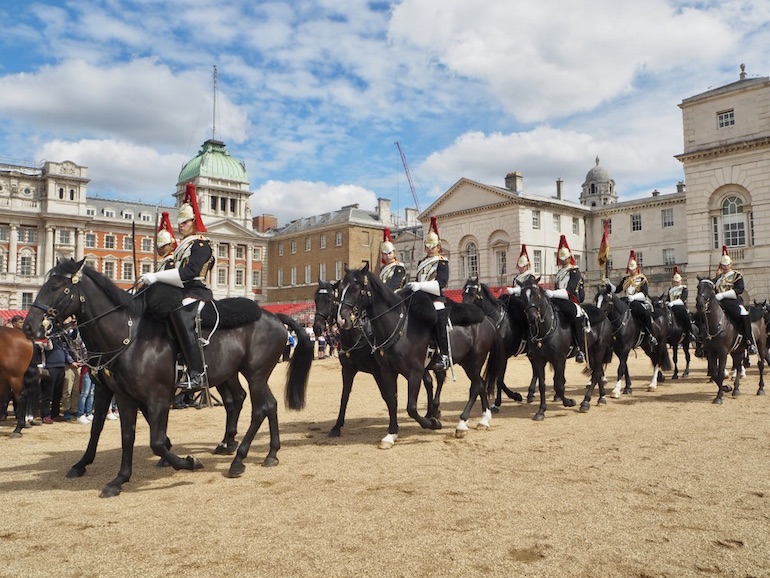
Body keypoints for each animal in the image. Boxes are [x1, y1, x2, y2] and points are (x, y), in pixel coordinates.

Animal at [24, 258, 312, 496]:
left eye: (58, 288)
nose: (29, 326)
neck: (129, 337)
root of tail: (273, 316)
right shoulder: (122, 396)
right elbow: (123, 435)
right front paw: (118, 478)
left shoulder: (157, 397)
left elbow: (157, 441)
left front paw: (187, 462)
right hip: (242, 374)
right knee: (261, 403)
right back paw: (268, 453)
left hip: (255, 374)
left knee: (259, 408)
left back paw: (238, 459)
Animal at [336, 264, 498, 438]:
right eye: (340, 289)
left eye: (357, 287)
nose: (342, 319)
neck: (400, 328)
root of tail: (487, 320)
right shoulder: (386, 372)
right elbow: (391, 401)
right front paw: (391, 433)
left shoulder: (414, 373)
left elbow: (411, 408)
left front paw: (433, 423)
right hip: (467, 362)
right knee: (479, 384)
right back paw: (483, 419)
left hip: (474, 361)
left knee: (476, 385)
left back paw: (462, 423)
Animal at [460, 276, 524, 408]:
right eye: (463, 293)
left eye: (473, 293)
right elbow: (497, 378)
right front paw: (513, 396)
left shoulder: (503, 355)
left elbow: (499, 379)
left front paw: (499, 401)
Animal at [516, 276, 612, 416]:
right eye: (522, 295)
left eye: (537, 294)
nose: (532, 317)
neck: (547, 329)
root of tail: (604, 316)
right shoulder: (539, 360)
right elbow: (542, 385)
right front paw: (541, 410)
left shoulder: (559, 359)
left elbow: (559, 385)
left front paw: (568, 402)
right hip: (590, 351)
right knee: (597, 371)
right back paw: (601, 397)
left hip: (599, 349)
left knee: (595, 374)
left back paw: (586, 402)